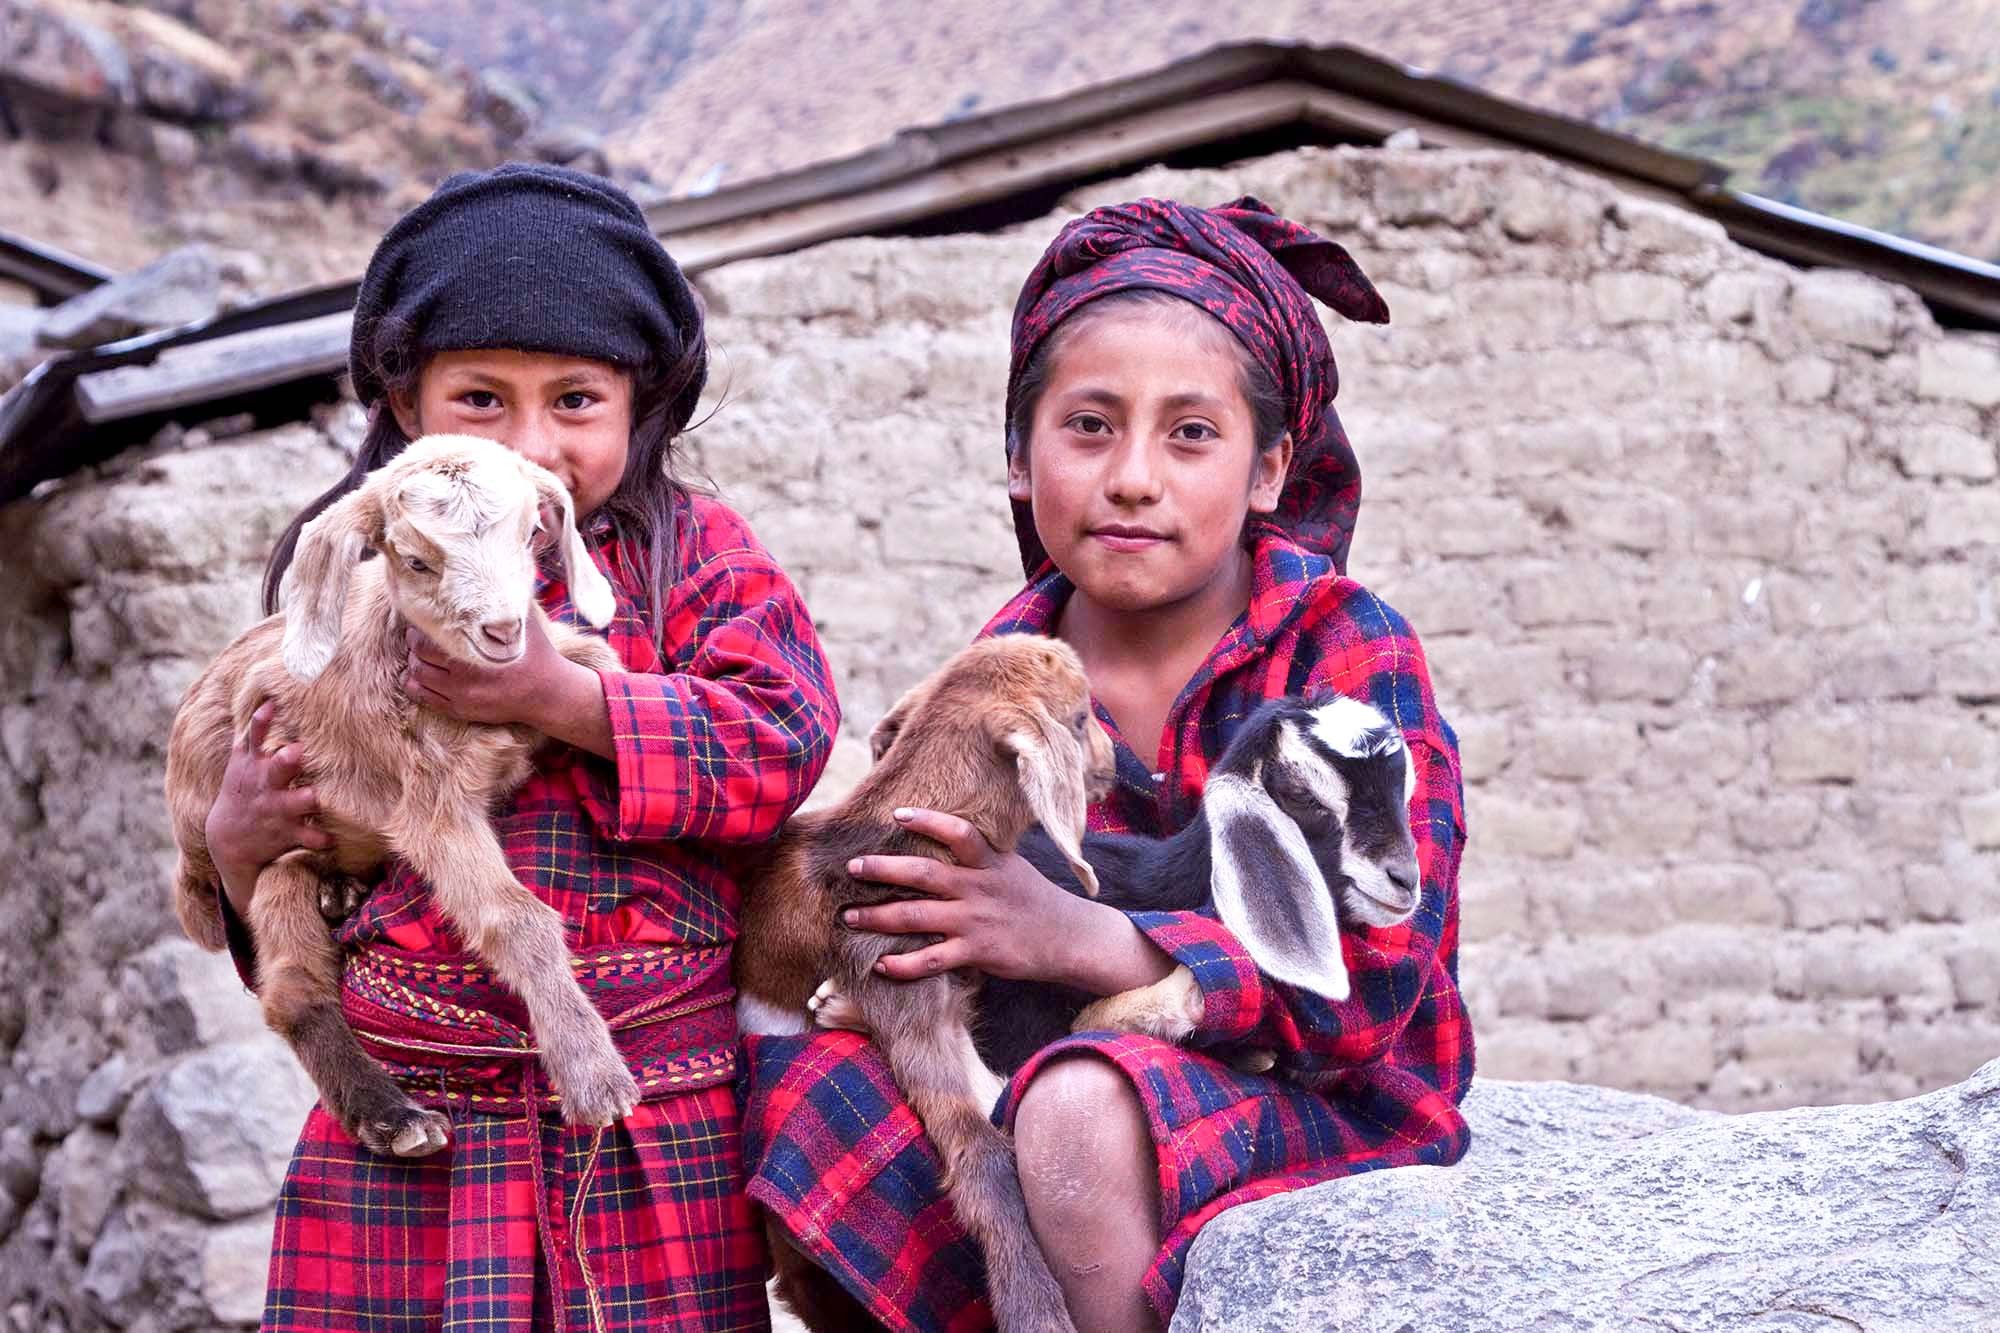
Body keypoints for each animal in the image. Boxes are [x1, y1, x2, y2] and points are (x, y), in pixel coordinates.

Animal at [172, 434, 644, 1152]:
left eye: (531, 533)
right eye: (417, 560)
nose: (504, 630)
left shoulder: (572, 662)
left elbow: (610, 677)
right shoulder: (432, 806)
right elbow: (518, 920)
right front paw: (594, 1077)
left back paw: (343, 892)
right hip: (268, 851)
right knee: (291, 990)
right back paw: (393, 1116)